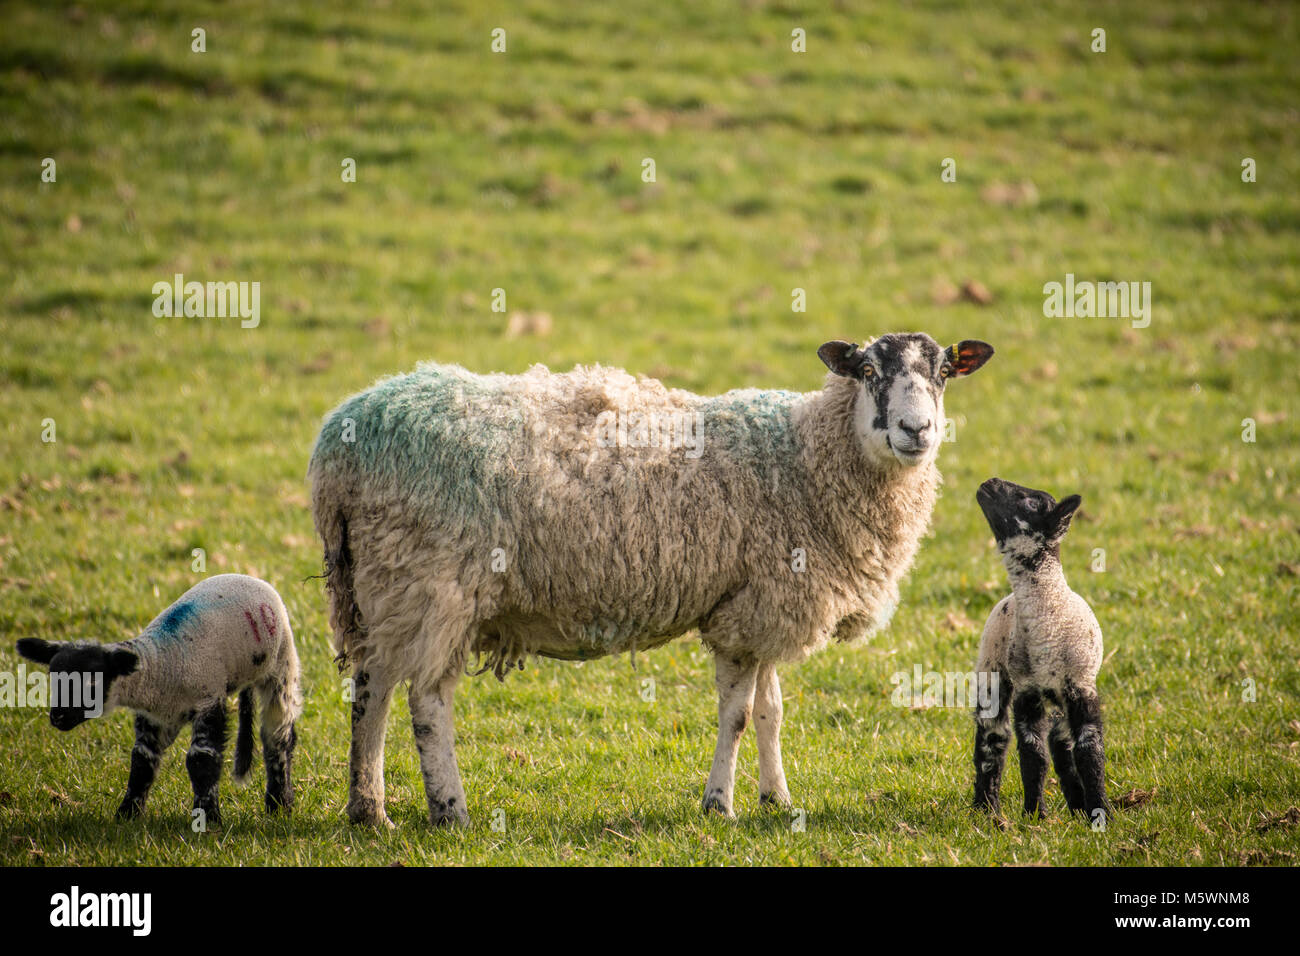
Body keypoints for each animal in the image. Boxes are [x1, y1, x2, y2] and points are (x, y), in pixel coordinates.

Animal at [15, 572, 300, 827]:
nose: (58, 717)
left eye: (92, 683)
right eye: (53, 678)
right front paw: (127, 814)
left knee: (278, 736)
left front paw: (208, 819)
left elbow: (202, 759)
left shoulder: (209, 699)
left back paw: (279, 804)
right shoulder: (157, 717)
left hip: (281, 666)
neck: (161, 659)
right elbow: (142, 760)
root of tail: (252, 578)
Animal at [312, 332, 993, 827]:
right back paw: (449, 810)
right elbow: (737, 717)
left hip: (383, 583)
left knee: (370, 689)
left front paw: (778, 801)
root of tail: (340, 448)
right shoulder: (744, 616)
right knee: (426, 700)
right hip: (435, 582)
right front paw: (719, 806)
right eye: (868, 371)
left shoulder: (762, 602)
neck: (804, 457)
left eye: (942, 373)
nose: (916, 430)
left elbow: (770, 710)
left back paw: (367, 811)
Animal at [972, 478, 1112, 822]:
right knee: (992, 738)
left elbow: (1090, 753)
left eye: (1032, 502)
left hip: (1060, 698)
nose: (989, 483)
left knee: (1061, 745)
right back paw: (986, 810)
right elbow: (1032, 754)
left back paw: (1076, 805)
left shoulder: (1082, 688)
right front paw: (1035, 814)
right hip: (991, 667)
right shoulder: (1027, 691)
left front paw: (1101, 813)